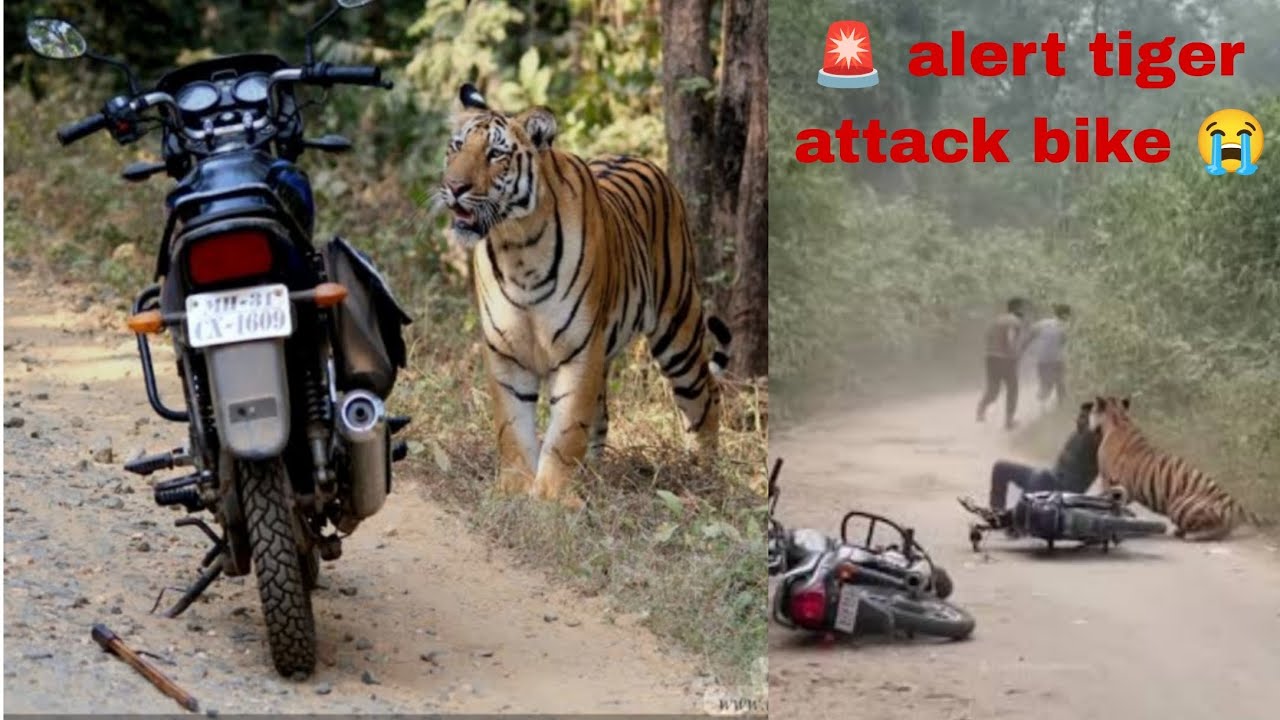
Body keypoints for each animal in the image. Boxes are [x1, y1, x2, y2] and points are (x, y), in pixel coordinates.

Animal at [437, 83, 731, 509]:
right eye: (456, 147)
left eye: (495, 154)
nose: (454, 187)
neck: (517, 247)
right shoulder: (505, 351)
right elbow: (511, 425)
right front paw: (513, 489)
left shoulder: (579, 350)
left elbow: (566, 429)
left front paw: (552, 496)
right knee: (604, 415)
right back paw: (594, 473)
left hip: (679, 330)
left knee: (706, 395)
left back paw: (707, 473)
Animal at [1087, 395, 1263, 541]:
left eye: (1092, 410)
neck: (1119, 418)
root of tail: (1231, 500)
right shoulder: (1125, 488)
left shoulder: (1106, 479)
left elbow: (1105, 497)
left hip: (1178, 505)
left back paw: (1188, 535)